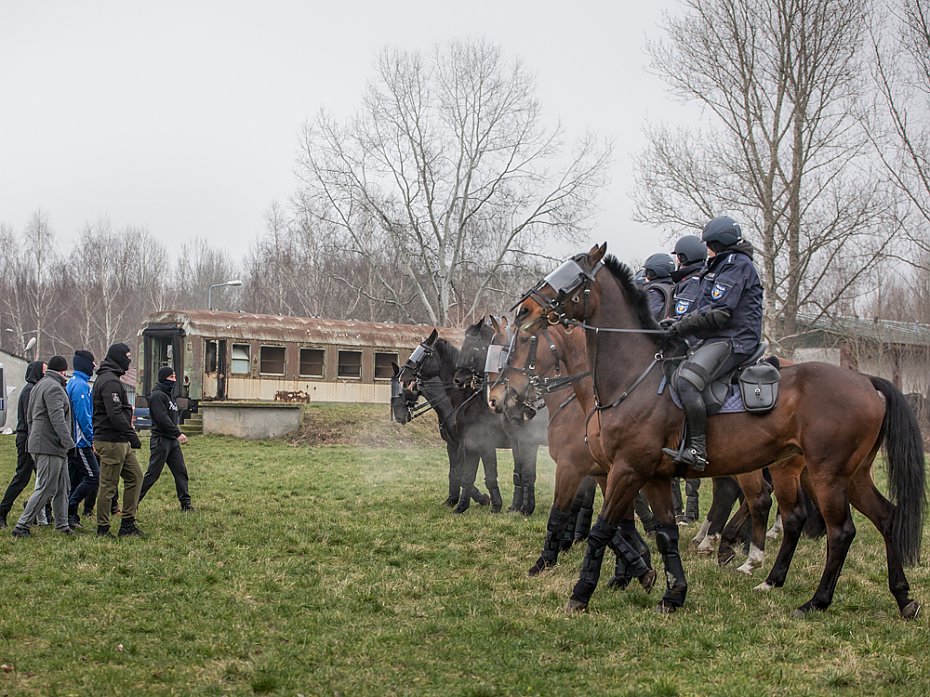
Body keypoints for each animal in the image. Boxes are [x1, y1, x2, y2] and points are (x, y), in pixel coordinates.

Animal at [504, 243, 924, 616]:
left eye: (571, 278)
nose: (522, 310)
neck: (635, 378)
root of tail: (867, 380)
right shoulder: (652, 476)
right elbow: (664, 533)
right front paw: (672, 594)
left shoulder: (625, 470)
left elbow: (602, 529)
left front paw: (580, 593)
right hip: (849, 474)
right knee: (884, 517)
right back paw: (901, 597)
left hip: (826, 475)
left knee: (838, 532)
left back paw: (814, 600)